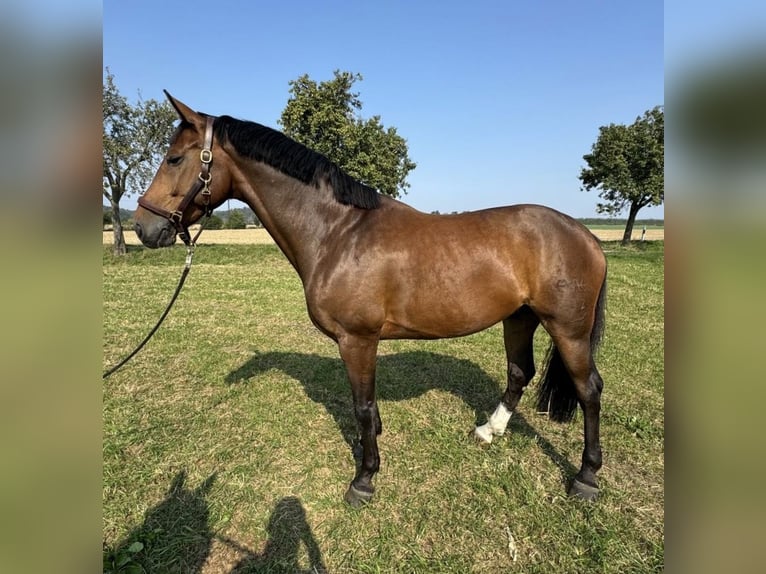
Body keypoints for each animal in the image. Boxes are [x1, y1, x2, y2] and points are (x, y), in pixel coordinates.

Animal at [135, 94, 608, 508]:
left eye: (174, 158)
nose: (143, 227)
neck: (338, 232)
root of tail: (586, 236)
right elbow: (369, 406)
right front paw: (375, 447)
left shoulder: (357, 339)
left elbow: (361, 407)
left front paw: (364, 479)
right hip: (520, 318)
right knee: (519, 372)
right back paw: (489, 431)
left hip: (568, 329)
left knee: (588, 389)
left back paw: (586, 477)